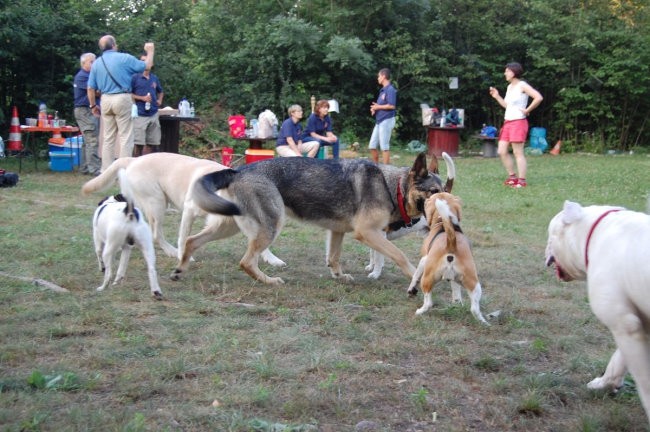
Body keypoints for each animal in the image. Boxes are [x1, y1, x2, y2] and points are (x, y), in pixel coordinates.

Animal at [92, 170, 161, 298]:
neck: (111, 202)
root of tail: (129, 212)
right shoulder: (127, 248)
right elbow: (121, 269)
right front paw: (118, 281)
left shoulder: (98, 239)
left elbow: (99, 255)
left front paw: (101, 268)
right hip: (147, 248)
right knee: (151, 269)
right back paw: (156, 291)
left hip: (108, 249)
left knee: (109, 273)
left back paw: (102, 287)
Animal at [175, 154, 454, 286]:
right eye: (432, 193)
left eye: (446, 191)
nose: (449, 216)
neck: (391, 186)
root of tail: (237, 170)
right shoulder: (368, 233)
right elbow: (399, 255)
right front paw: (415, 276)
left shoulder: (338, 232)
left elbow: (333, 258)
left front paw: (339, 276)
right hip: (272, 225)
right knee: (246, 261)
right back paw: (270, 281)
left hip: (228, 226)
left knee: (191, 240)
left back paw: (180, 269)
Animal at [544, 201, 648, 424]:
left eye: (550, 233)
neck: (594, 233)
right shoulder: (636, 324)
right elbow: (617, 361)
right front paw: (604, 384)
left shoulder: (626, 327)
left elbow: (644, 382)